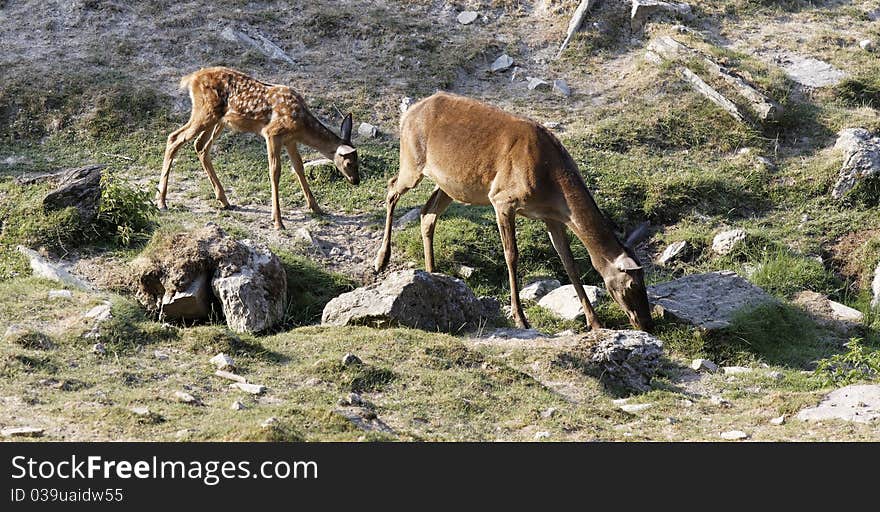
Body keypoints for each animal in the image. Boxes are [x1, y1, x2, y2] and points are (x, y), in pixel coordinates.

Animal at [156, 66, 360, 228]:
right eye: (349, 163)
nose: (356, 181)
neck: (301, 124)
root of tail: (191, 78)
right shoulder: (272, 133)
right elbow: (275, 171)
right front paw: (278, 221)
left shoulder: (290, 140)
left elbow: (299, 168)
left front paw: (317, 208)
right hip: (204, 112)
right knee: (174, 138)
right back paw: (162, 201)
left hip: (217, 120)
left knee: (200, 146)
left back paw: (224, 200)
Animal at [372, 92, 652, 332]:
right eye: (632, 285)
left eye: (645, 283)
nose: (647, 323)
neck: (551, 183)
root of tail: (407, 114)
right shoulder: (502, 200)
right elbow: (511, 255)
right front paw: (520, 318)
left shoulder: (552, 218)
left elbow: (569, 263)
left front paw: (594, 323)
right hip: (412, 161)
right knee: (391, 188)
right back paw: (381, 260)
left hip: (449, 185)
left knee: (427, 213)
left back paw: (433, 275)